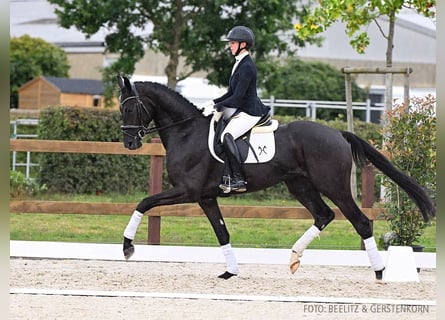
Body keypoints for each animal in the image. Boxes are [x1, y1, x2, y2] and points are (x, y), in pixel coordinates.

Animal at [117, 75, 434, 280]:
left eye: (129, 107)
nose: (130, 143)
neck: (186, 132)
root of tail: (337, 133)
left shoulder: (187, 190)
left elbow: (144, 203)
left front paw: (128, 247)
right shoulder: (206, 197)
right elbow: (222, 233)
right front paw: (230, 271)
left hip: (333, 186)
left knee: (361, 222)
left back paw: (379, 271)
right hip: (300, 185)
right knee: (324, 215)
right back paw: (294, 257)